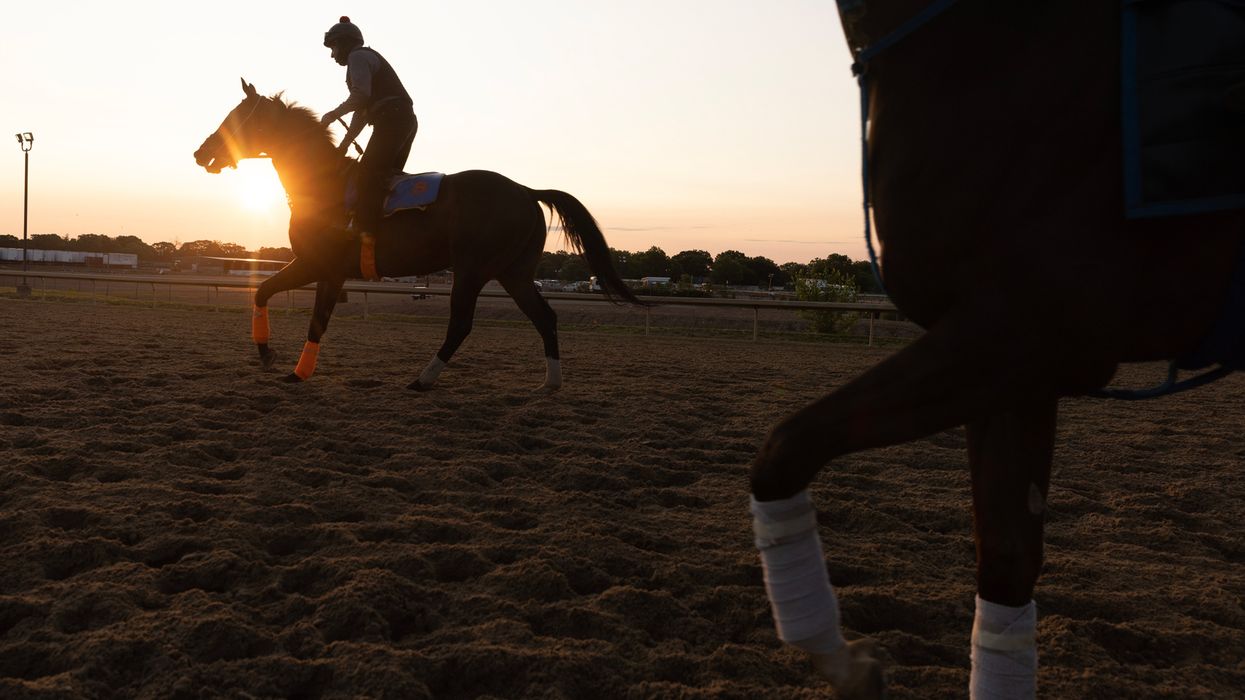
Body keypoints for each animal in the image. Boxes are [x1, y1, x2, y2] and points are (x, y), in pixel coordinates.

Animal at [193, 80, 641, 390]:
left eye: (237, 118)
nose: (201, 152)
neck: (323, 185)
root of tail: (526, 191)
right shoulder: (310, 264)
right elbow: (262, 291)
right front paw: (266, 353)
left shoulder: (327, 269)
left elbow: (315, 322)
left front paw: (297, 373)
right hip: (514, 273)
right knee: (544, 316)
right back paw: (551, 381)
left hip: (472, 270)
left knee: (461, 324)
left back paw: (424, 378)